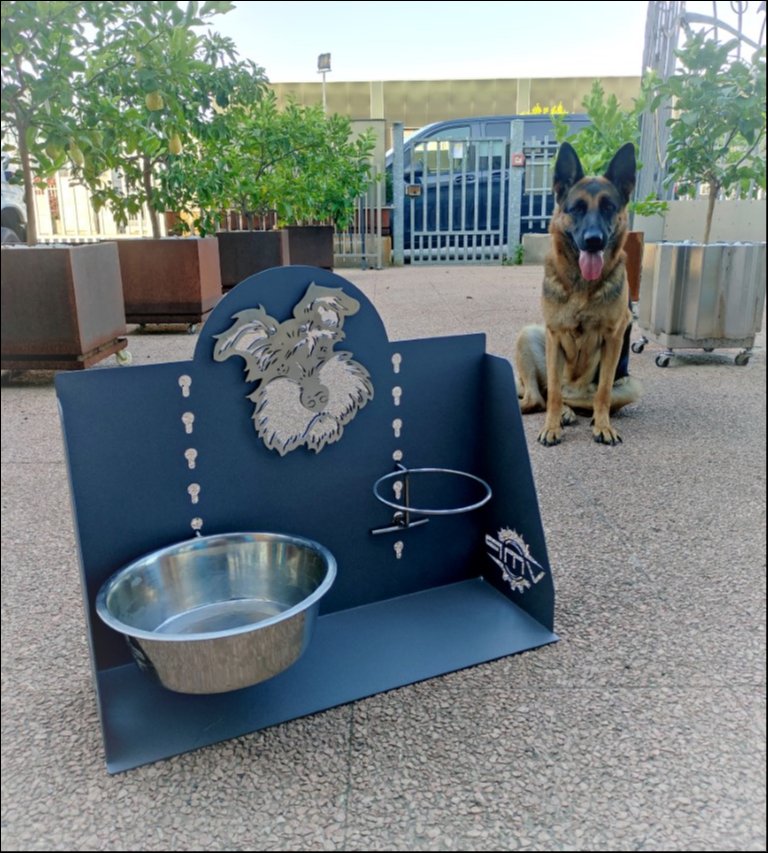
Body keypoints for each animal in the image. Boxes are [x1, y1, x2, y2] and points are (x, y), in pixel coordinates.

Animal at [515, 141, 642, 446]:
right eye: (577, 208)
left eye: (609, 207)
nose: (593, 240)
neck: (583, 285)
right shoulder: (554, 334)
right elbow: (553, 393)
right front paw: (551, 426)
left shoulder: (614, 337)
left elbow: (604, 391)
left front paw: (604, 426)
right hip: (529, 335)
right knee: (541, 397)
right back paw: (560, 412)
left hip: (632, 384)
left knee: (577, 398)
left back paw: (579, 413)